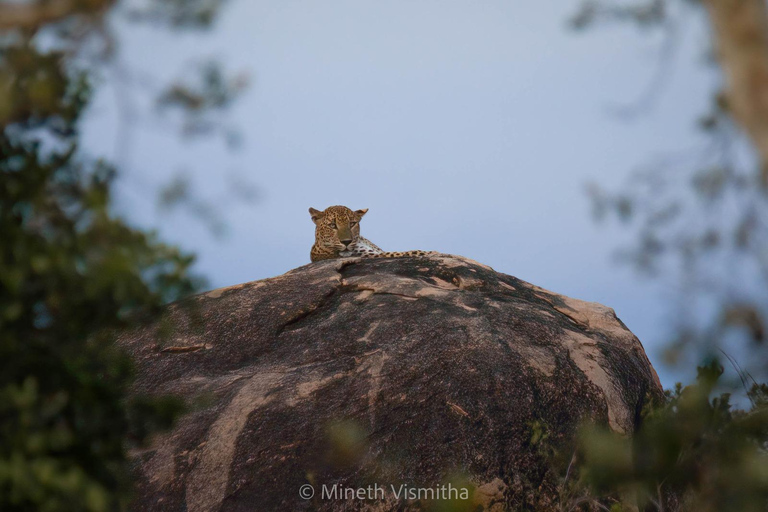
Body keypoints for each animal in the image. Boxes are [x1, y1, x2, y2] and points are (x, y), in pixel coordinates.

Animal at [308, 205, 436, 262]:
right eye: (332, 225)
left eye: (352, 224)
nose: (346, 242)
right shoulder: (373, 255)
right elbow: (408, 252)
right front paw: (434, 253)